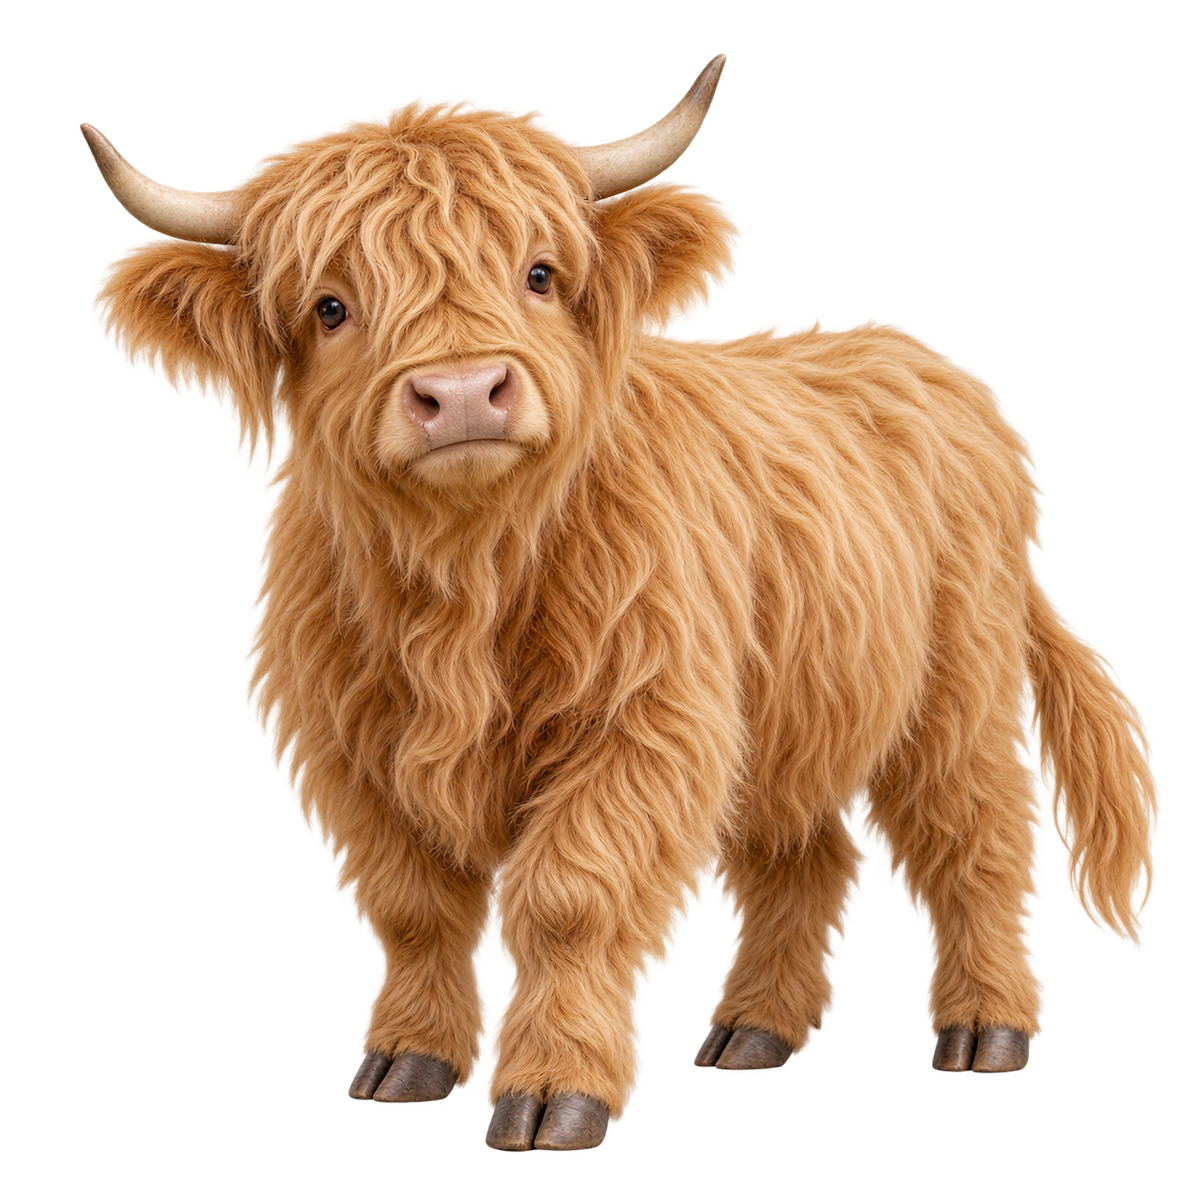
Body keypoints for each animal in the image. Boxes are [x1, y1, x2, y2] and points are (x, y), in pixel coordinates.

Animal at [77, 50, 1164, 1154]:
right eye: (331, 307)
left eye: (539, 274)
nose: (463, 394)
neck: (465, 580)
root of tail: (927, 363)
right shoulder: (352, 752)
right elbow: (412, 906)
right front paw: (406, 1061)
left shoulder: (641, 723)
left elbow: (571, 899)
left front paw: (555, 1093)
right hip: (794, 713)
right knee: (799, 860)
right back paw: (753, 1034)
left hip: (957, 690)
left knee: (978, 835)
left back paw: (985, 1029)